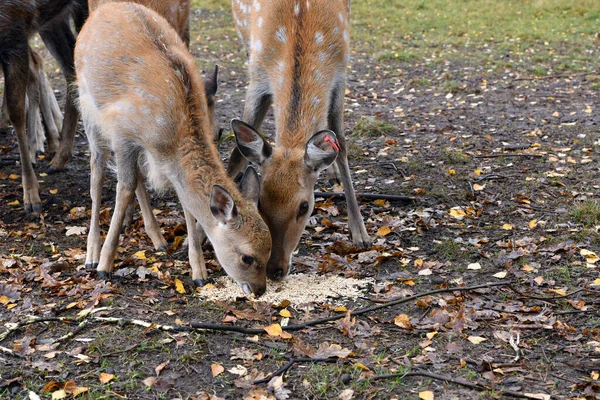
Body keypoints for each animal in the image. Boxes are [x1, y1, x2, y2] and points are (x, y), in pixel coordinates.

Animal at [0, 0, 85, 212]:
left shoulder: (15, 29)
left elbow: (16, 112)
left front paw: (31, 196)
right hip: (53, 21)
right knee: (71, 64)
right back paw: (59, 158)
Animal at [77, 1, 272, 296]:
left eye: (269, 248)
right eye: (247, 257)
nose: (259, 289)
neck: (171, 139)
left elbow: (184, 202)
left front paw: (199, 273)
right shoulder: (123, 133)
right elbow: (124, 188)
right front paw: (104, 266)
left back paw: (157, 238)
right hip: (86, 105)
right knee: (97, 172)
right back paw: (91, 254)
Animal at [230, 0, 370, 280]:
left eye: (304, 206)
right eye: (259, 202)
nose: (274, 269)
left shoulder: (340, 75)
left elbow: (342, 145)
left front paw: (359, 232)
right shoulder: (257, 74)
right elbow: (237, 154)